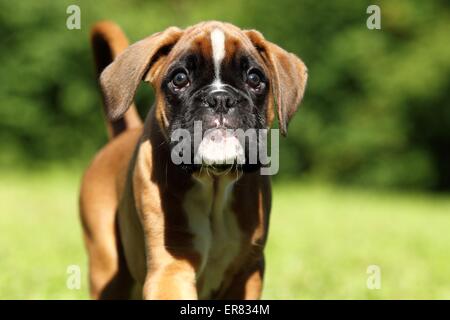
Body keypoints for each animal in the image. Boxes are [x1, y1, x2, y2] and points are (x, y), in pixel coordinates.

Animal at [80, 20, 306, 300]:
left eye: (254, 78)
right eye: (179, 78)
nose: (220, 99)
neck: (215, 182)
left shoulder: (248, 272)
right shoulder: (170, 269)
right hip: (108, 269)